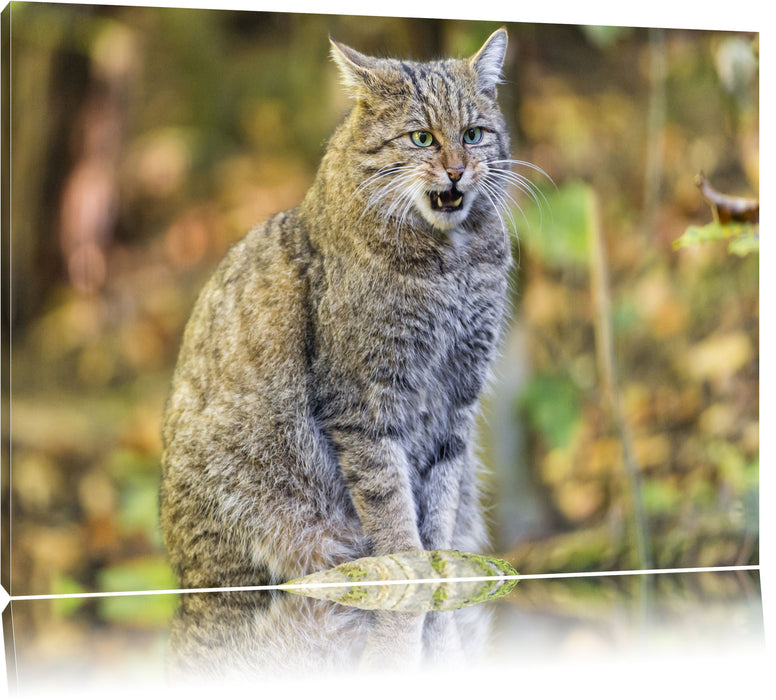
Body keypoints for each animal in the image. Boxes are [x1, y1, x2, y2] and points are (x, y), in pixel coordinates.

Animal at [160, 27, 516, 588]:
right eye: (422, 138)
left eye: (474, 134)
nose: (458, 170)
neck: (451, 265)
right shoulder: (364, 400)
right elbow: (387, 493)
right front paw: (409, 565)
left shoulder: (458, 393)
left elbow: (442, 487)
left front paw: (439, 563)